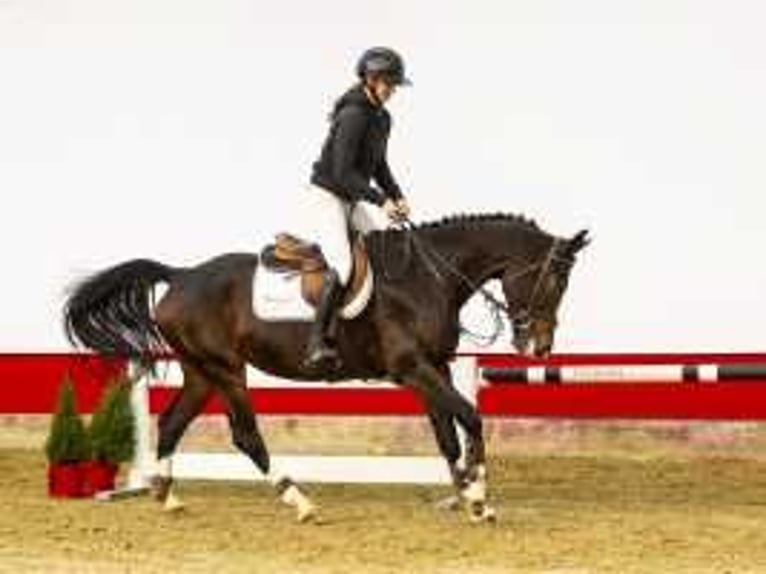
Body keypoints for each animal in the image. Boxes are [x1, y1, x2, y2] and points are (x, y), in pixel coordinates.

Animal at [66, 214, 592, 524]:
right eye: (555, 279)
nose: (539, 347)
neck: (428, 277)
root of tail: (180, 275)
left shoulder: (434, 368)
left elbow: (447, 434)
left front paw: (463, 492)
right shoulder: (413, 368)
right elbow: (470, 418)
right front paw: (479, 497)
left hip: (202, 371)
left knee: (173, 422)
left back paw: (167, 496)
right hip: (226, 369)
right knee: (245, 434)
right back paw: (299, 501)